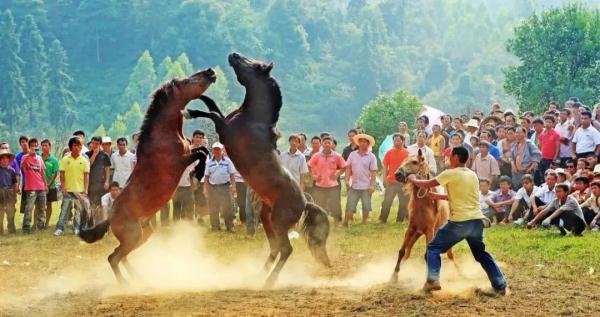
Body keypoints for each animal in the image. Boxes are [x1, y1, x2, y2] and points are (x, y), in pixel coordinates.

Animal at [78, 68, 216, 282]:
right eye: (186, 81)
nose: (210, 72)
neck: (164, 135)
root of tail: (110, 218)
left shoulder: (187, 154)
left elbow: (203, 150)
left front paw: (197, 173)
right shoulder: (178, 162)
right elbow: (201, 153)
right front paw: (199, 172)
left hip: (144, 234)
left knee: (121, 256)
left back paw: (138, 278)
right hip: (133, 235)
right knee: (113, 258)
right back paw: (126, 283)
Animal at [184, 52, 330, 286]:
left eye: (256, 65)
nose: (233, 55)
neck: (253, 118)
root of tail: (304, 202)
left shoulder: (225, 130)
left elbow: (212, 113)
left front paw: (189, 111)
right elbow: (212, 105)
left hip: (278, 222)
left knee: (286, 249)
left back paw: (269, 281)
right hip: (266, 219)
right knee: (276, 248)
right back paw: (259, 275)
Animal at [390, 149, 454, 282]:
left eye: (414, 162)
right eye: (403, 161)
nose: (397, 174)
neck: (424, 204)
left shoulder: (429, 232)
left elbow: (427, 256)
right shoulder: (411, 229)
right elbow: (402, 251)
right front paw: (394, 275)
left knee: (450, 255)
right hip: (416, 234)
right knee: (408, 252)